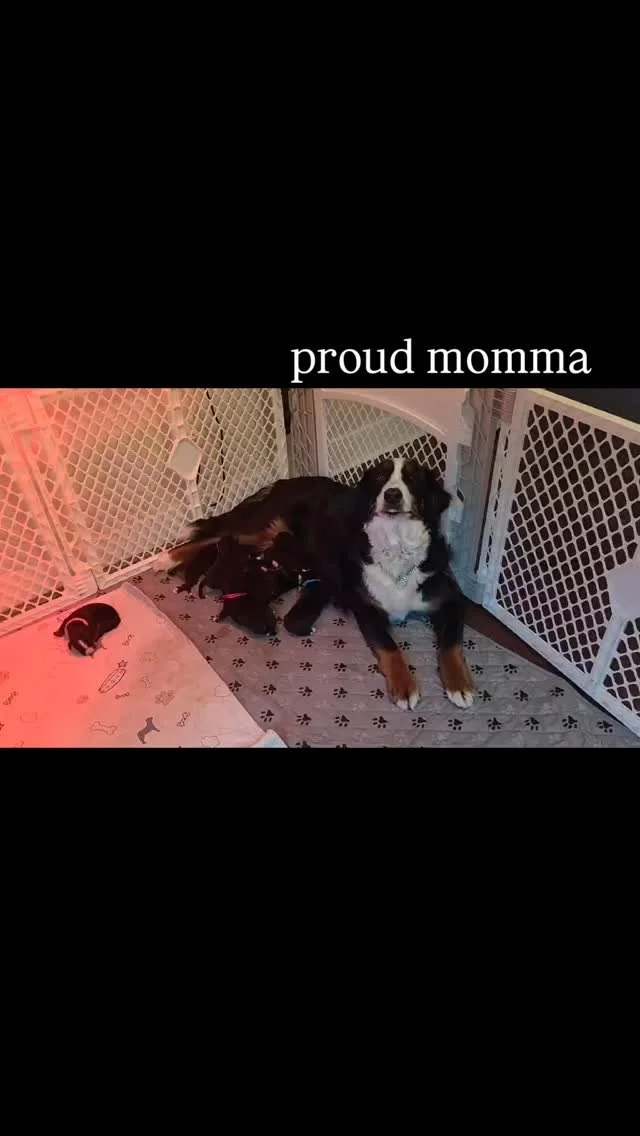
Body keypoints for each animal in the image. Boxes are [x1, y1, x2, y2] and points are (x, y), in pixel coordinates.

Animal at [168, 462, 474, 709]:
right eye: (380, 478)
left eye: (412, 478)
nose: (392, 495)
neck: (396, 546)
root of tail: (285, 481)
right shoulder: (367, 608)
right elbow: (389, 647)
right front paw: (404, 687)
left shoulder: (450, 600)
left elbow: (450, 644)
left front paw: (459, 685)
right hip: (258, 528)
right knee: (211, 535)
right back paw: (166, 558)